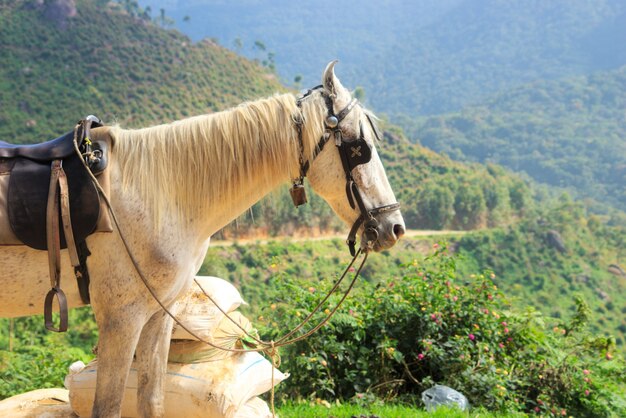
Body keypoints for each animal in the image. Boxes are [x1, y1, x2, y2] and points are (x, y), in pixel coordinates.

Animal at [0, 62, 402, 418]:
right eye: (358, 147)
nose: (394, 227)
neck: (159, 194)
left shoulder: (157, 314)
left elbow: (152, 401)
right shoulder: (121, 316)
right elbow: (108, 408)